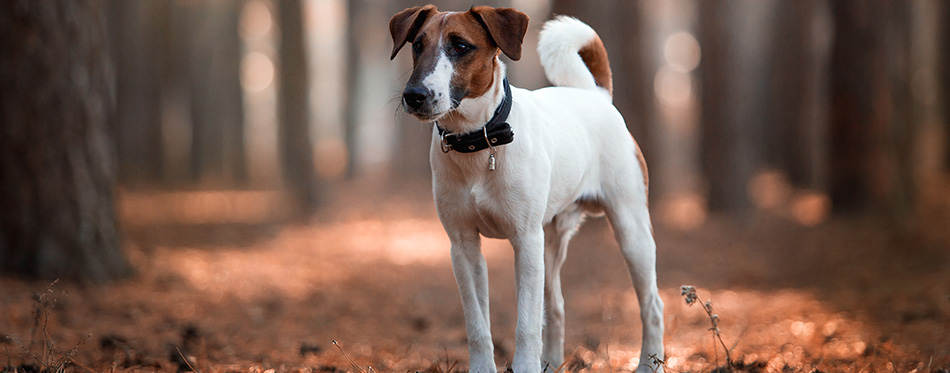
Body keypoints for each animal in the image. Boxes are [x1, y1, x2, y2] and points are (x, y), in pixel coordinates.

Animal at [390, 5, 664, 372]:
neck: (479, 142)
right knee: (556, 305)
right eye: (417, 45)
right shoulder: (463, 246)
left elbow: (527, 324)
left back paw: (650, 363)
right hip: (550, 243)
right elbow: (477, 324)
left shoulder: (525, 240)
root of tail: (596, 96)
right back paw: (552, 362)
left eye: (460, 46)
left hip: (630, 230)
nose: (414, 95)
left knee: (652, 306)